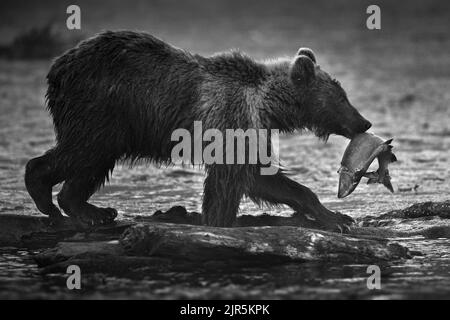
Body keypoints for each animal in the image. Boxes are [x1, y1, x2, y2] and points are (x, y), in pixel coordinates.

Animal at [24, 30, 370, 230]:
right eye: (342, 97)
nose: (364, 122)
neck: (268, 106)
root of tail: (57, 67)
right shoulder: (232, 120)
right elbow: (229, 180)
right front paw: (220, 221)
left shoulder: (253, 131)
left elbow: (262, 177)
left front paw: (338, 217)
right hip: (103, 106)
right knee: (87, 150)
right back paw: (56, 198)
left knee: (91, 159)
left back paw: (88, 209)